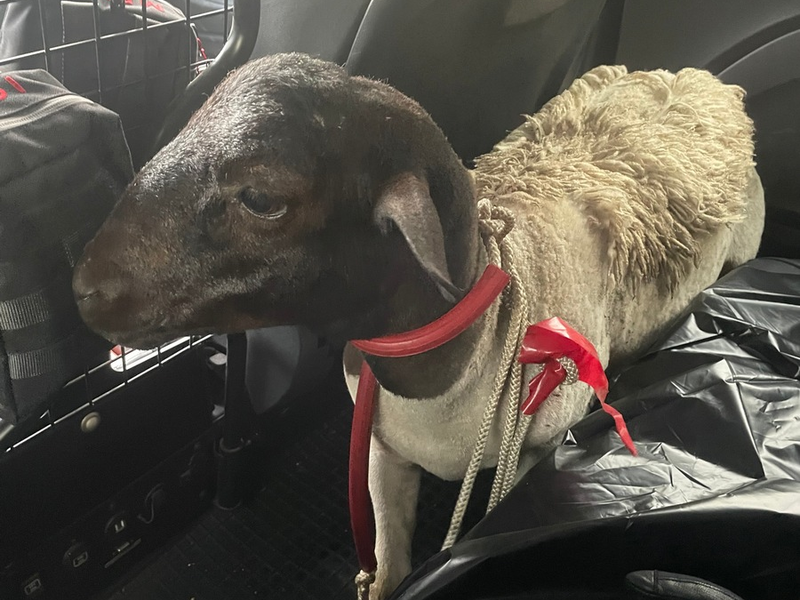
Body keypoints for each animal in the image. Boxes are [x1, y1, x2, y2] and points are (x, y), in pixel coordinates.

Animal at [72, 53, 765, 600]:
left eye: (262, 199)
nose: (84, 289)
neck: (461, 362)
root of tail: (700, 83)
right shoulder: (384, 452)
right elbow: (389, 559)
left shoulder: (528, 457)